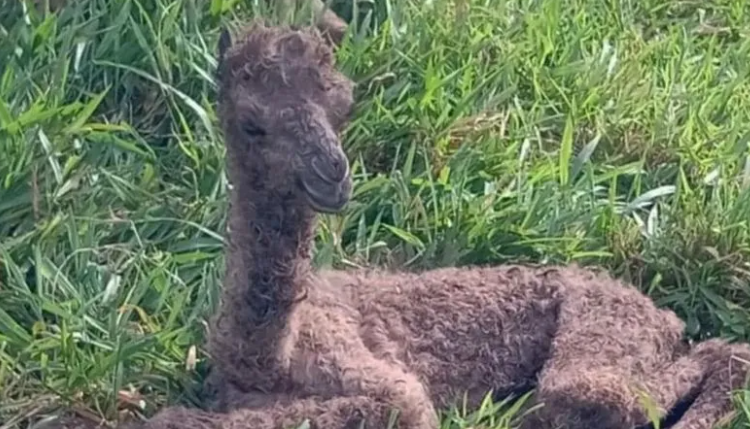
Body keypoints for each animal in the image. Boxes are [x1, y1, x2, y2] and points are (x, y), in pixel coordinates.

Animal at [135, 22, 750, 428]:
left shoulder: (385, 382)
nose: (333, 175)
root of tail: (660, 313)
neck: (267, 359)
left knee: (672, 372)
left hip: (605, 330)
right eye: (253, 124)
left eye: (342, 109)